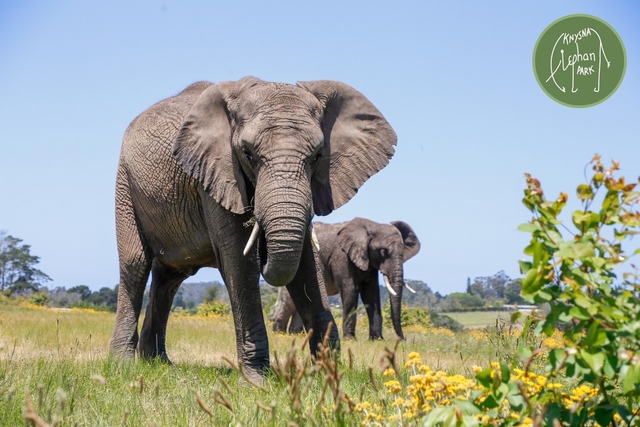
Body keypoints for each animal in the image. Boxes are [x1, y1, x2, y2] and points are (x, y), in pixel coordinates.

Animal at [111, 77, 400, 382]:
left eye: (318, 156)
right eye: (248, 154)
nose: (263, 248)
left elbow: (305, 264)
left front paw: (327, 373)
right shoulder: (215, 172)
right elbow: (239, 261)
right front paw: (256, 380)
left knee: (169, 277)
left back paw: (158, 362)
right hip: (125, 182)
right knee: (135, 265)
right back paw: (123, 365)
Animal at [270, 219, 420, 340]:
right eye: (383, 251)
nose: (403, 339)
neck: (372, 226)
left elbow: (371, 294)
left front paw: (377, 340)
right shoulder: (342, 256)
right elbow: (350, 290)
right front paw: (350, 340)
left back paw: (297, 335)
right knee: (290, 302)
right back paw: (280, 334)